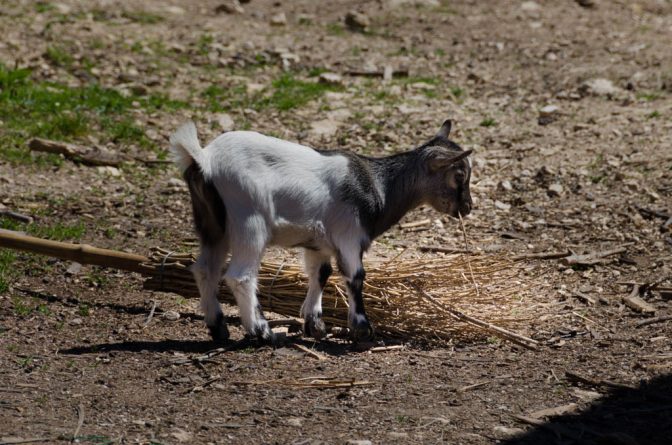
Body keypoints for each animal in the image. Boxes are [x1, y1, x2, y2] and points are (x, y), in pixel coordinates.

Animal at [168, 120, 472, 344]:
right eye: (459, 175)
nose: (467, 207)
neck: (378, 185)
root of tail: (204, 159)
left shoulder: (318, 244)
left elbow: (321, 274)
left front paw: (315, 325)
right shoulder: (349, 236)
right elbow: (356, 277)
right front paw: (362, 329)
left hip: (211, 226)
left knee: (204, 269)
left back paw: (218, 328)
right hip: (249, 221)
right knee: (240, 276)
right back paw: (262, 331)